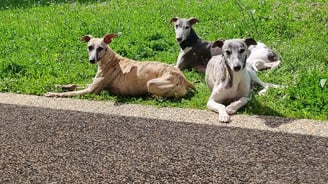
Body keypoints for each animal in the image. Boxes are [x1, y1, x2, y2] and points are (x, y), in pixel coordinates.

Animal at [45, 33, 196, 98]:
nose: (92, 60)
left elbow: (71, 92)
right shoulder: (93, 84)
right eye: (90, 47)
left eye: (101, 48)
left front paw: (52, 93)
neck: (110, 60)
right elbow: (74, 85)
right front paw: (59, 86)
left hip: (152, 83)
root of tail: (184, 78)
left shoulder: (92, 90)